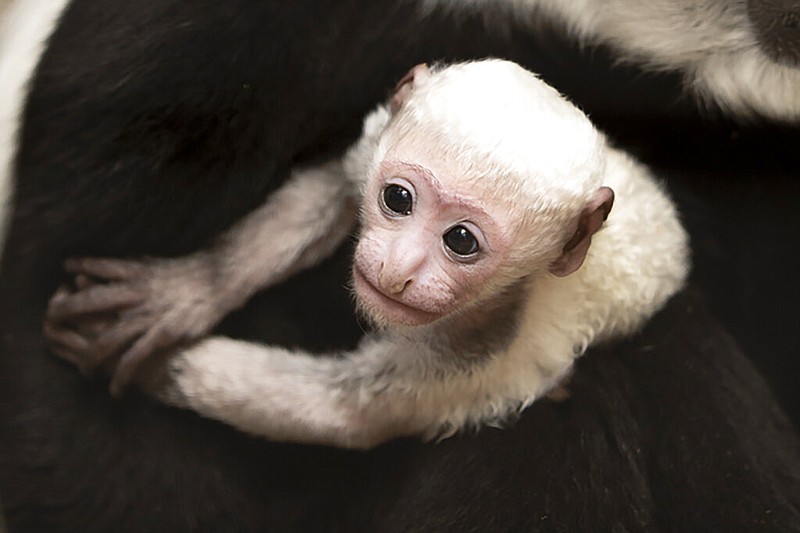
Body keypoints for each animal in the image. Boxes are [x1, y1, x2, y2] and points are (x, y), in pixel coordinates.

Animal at [47, 59, 692, 448]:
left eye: (460, 241)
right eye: (397, 199)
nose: (398, 269)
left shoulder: (483, 344)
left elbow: (338, 411)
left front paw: (161, 365)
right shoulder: (369, 152)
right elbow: (326, 194)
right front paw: (186, 294)